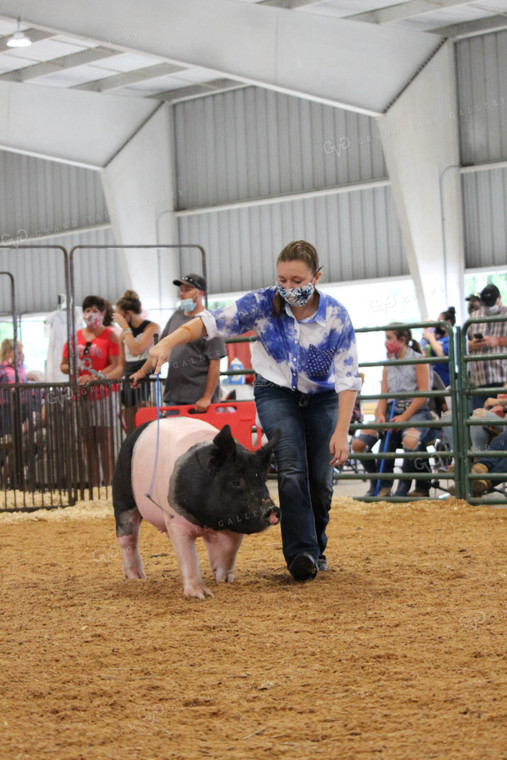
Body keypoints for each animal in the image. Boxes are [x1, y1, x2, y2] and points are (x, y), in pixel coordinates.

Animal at [113, 416, 282, 600]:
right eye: (236, 481)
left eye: (264, 479)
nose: (272, 510)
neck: (210, 520)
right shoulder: (175, 521)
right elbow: (189, 557)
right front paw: (201, 595)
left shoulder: (236, 523)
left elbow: (230, 550)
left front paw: (224, 580)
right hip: (123, 494)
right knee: (127, 538)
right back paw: (137, 577)